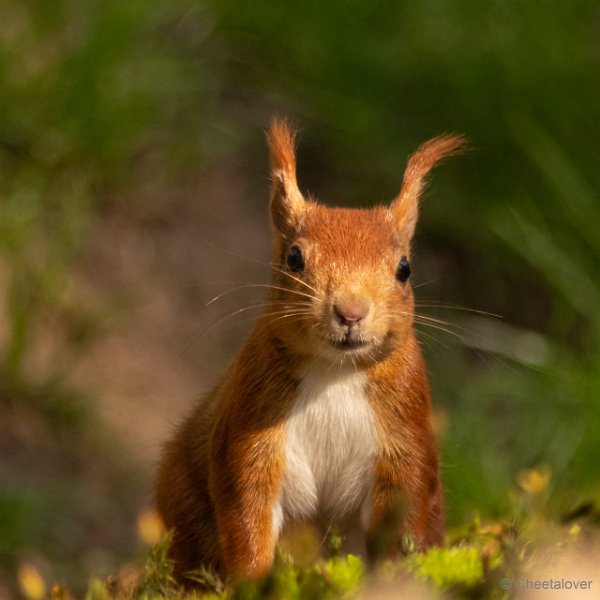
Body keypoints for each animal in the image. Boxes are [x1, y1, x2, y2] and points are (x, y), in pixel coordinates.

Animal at [155, 119, 464, 584]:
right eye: (294, 258)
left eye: (405, 268)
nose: (351, 311)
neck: (335, 370)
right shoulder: (251, 432)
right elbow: (248, 513)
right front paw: (254, 582)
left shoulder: (404, 439)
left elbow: (404, 521)